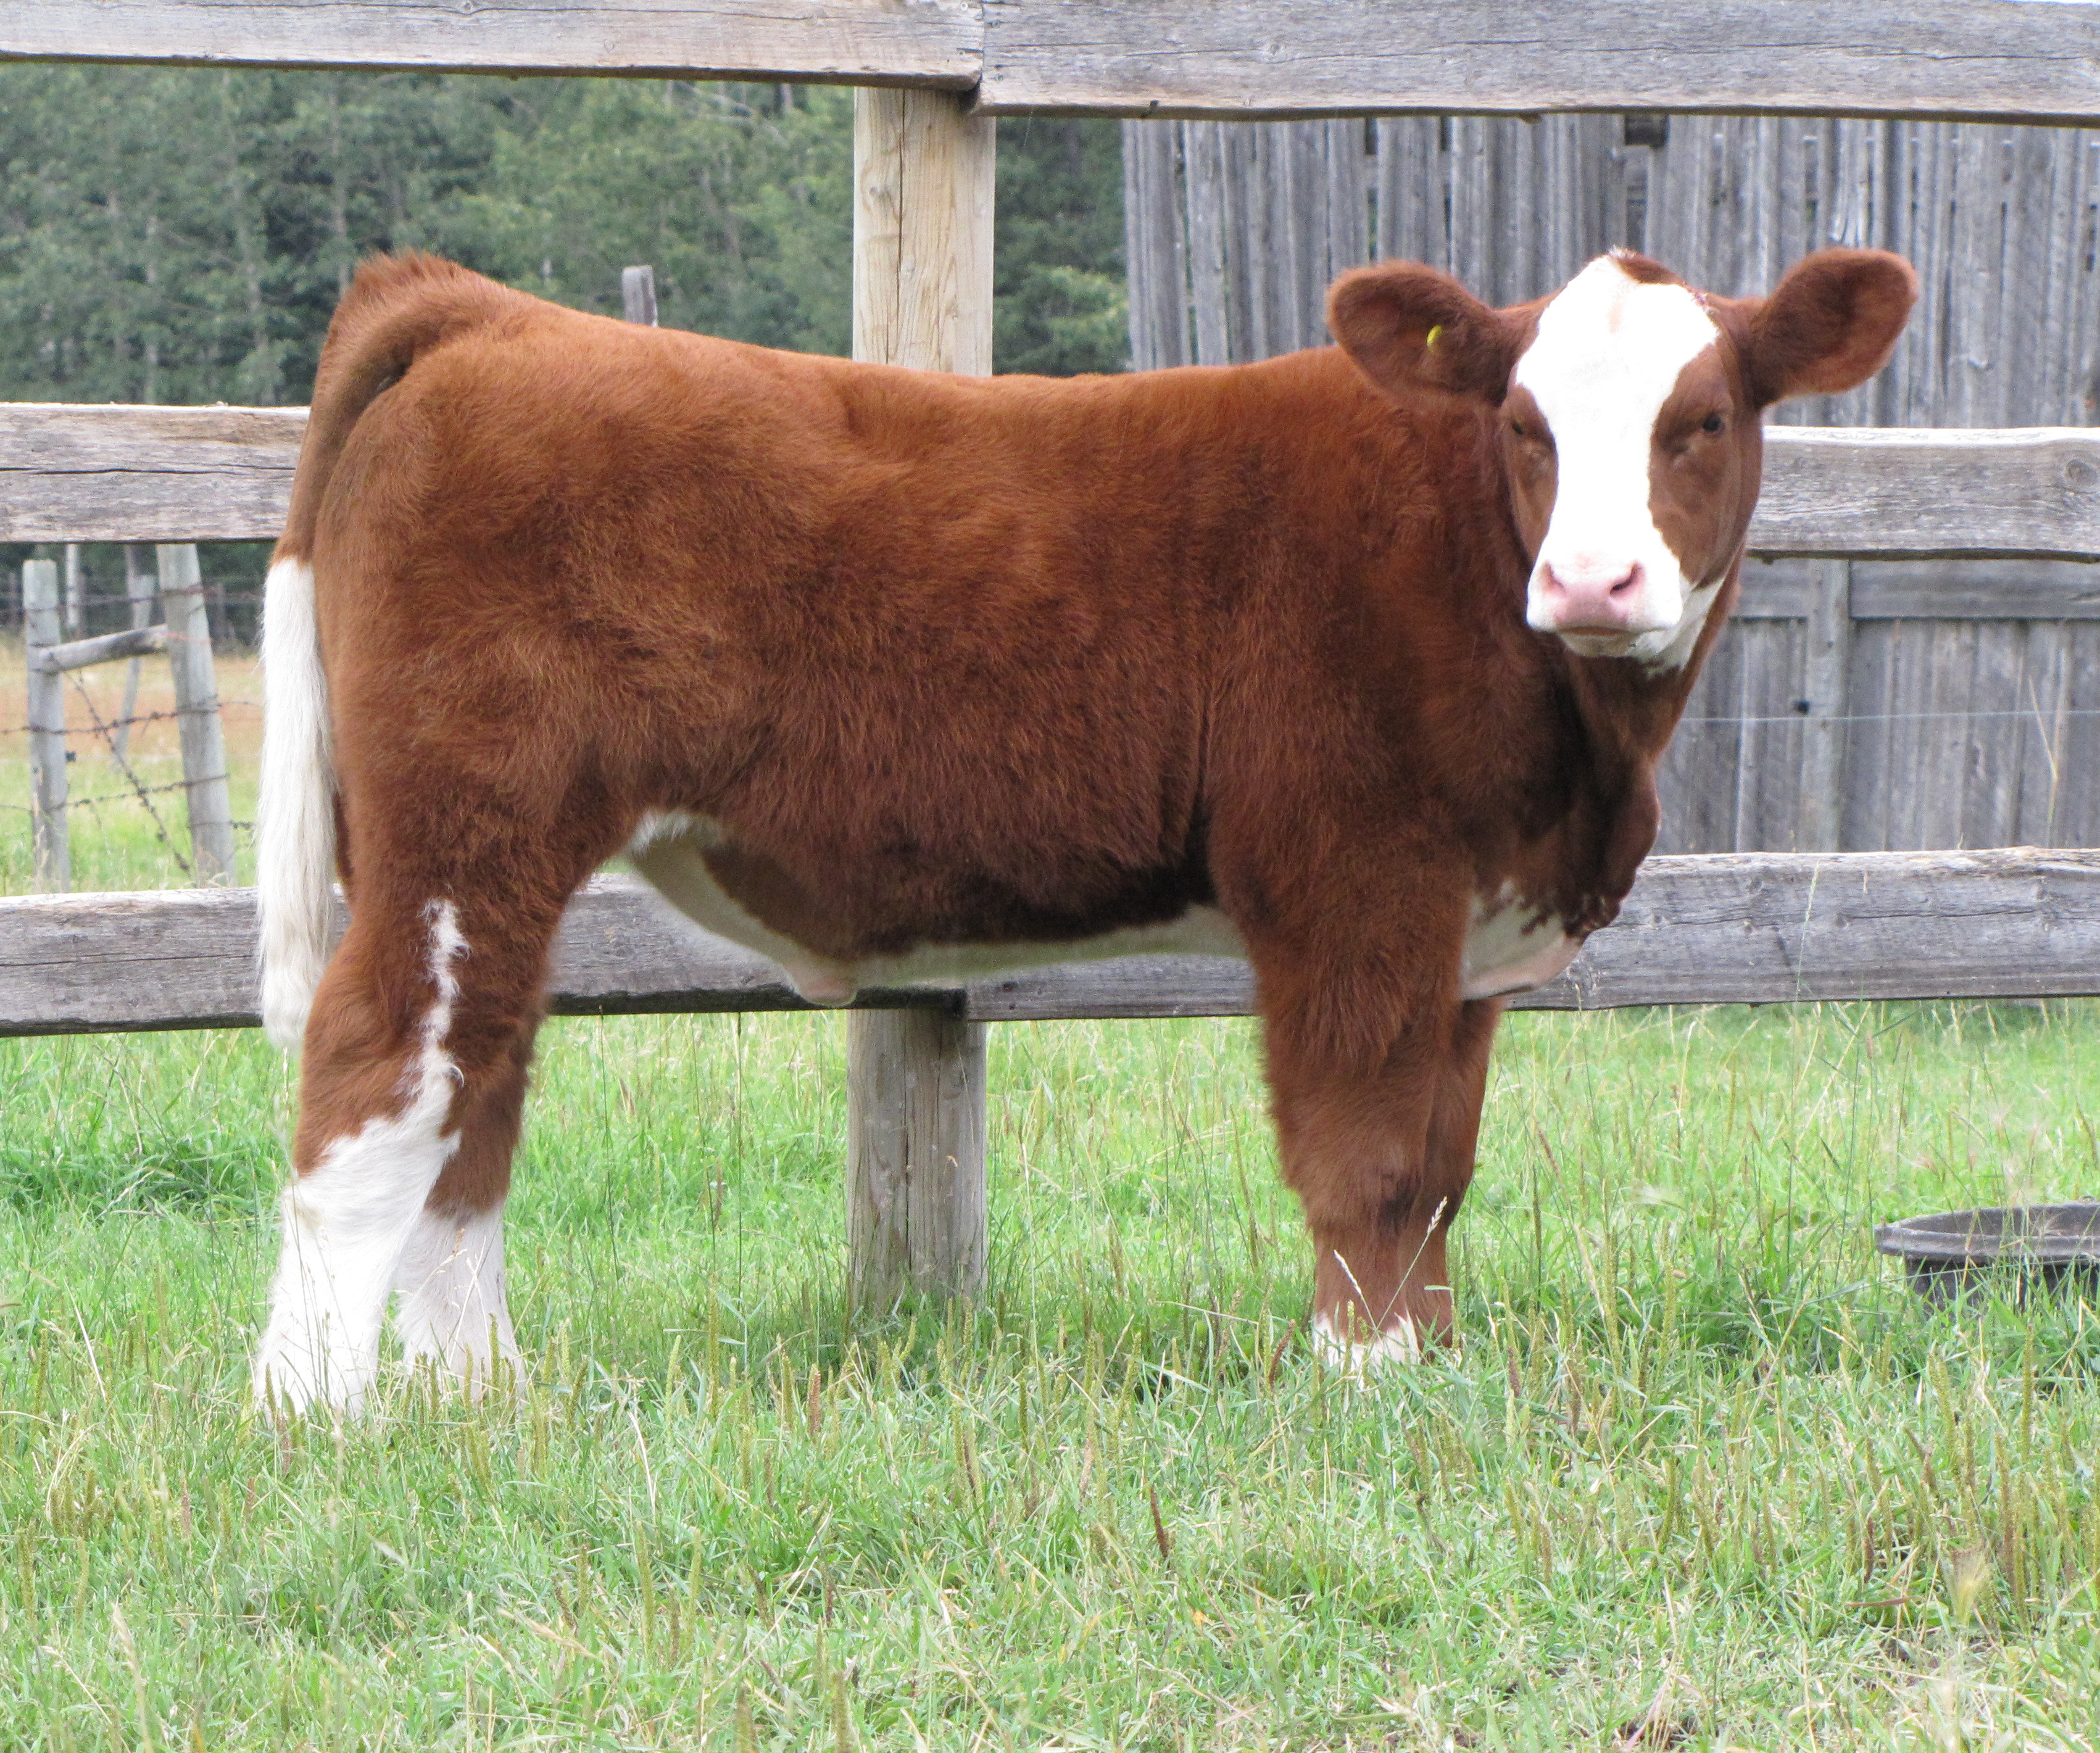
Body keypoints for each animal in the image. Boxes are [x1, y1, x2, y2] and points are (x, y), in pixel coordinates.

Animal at [250, 244, 1914, 1409]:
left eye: (1704, 420)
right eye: (1523, 423)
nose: (1590, 580)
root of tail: (480, 311)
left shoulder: (1469, 928)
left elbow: (1444, 1162)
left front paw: (1432, 1364)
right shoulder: (1357, 879)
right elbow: (1368, 1153)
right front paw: (1366, 1384)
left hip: (483, 863)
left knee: (475, 1091)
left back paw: (476, 1391)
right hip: (461, 825)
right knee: (379, 1062)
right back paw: (315, 1409)